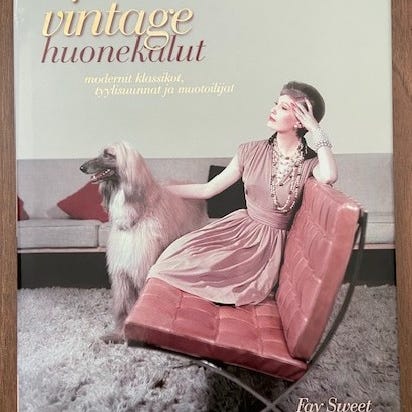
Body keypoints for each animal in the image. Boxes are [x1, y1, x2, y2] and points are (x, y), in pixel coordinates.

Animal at [80, 141, 207, 343]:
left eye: (108, 154)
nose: (82, 167)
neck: (135, 212)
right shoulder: (122, 270)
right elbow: (123, 305)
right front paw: (118, 333)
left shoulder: (142, 265)